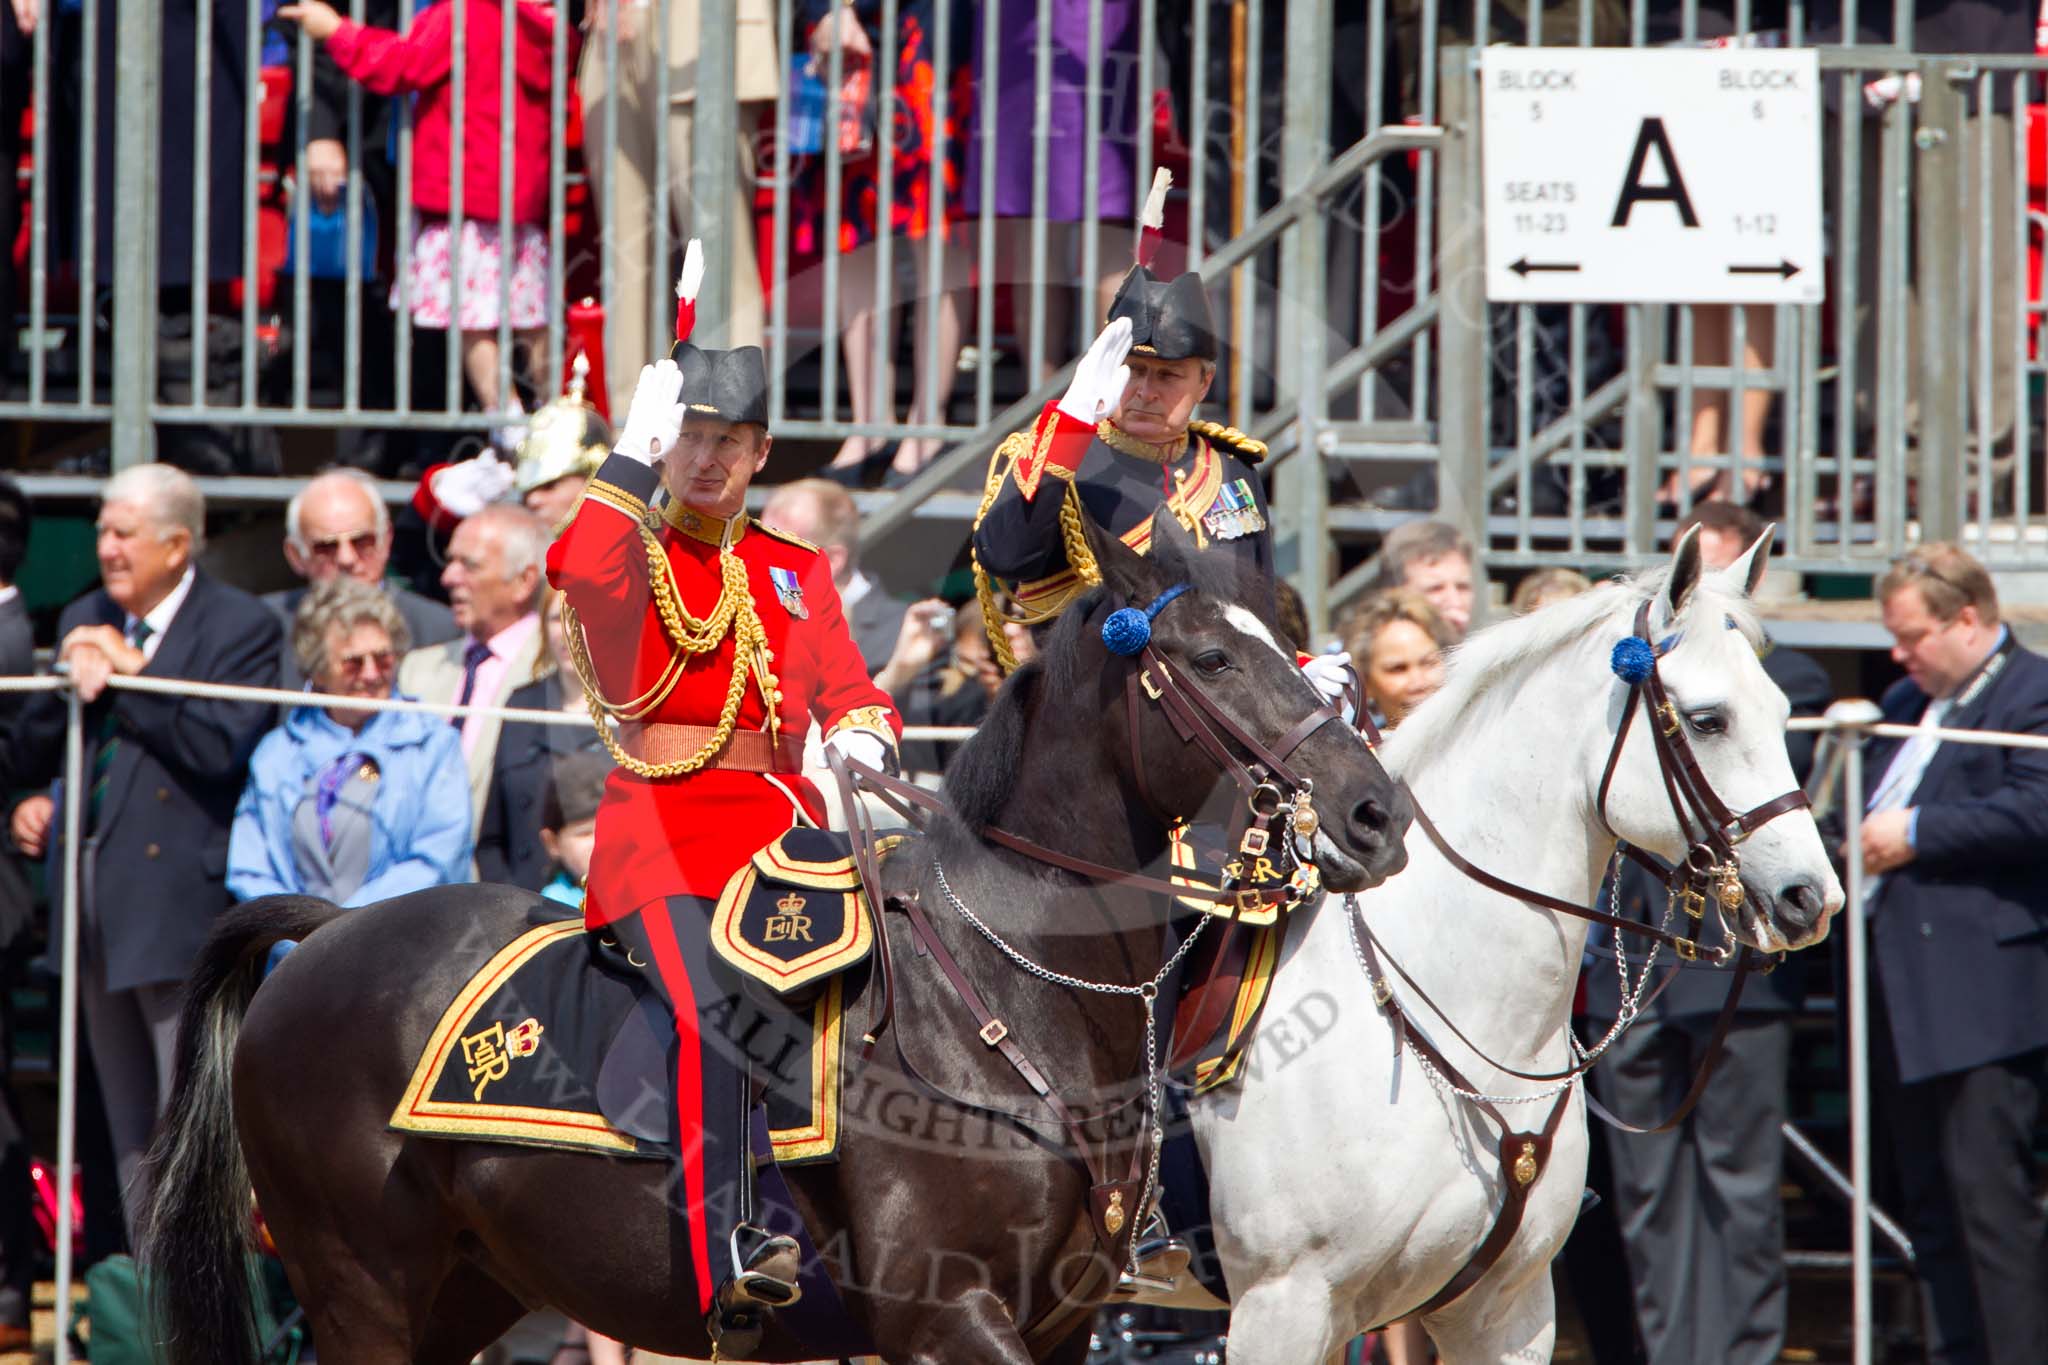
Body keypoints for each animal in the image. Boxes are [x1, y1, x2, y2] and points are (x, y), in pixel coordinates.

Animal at [140, 515, 1409, 1365]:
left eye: (1287, 642)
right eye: (1211, 659)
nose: (1373, 812)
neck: (1001, 992)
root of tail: (330, 934)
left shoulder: (1058, 1326)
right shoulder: (945, 1317)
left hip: (461, 1291)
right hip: (360, 1289)